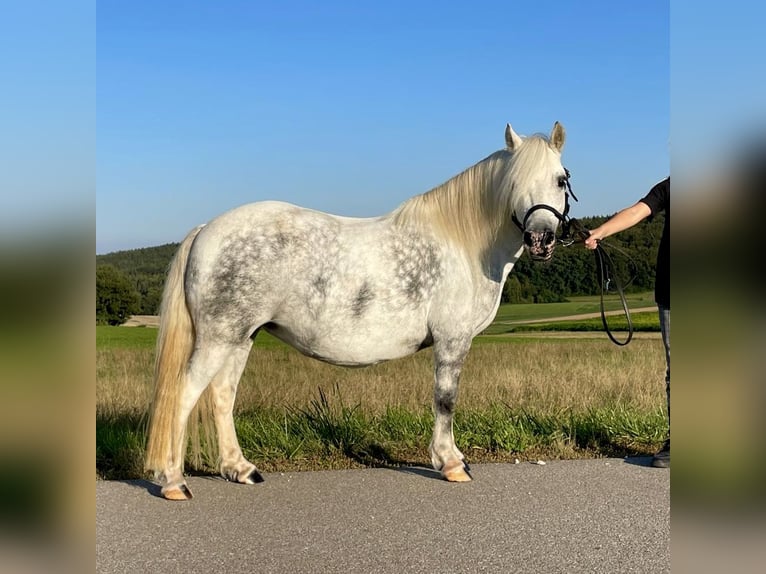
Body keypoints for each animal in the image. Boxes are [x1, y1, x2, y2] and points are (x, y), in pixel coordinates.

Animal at [147, 121, 572, 500]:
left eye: (559, 180)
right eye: (513, 183)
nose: (540, 239)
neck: (463, 245)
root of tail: (205, 230)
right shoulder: (452, 339)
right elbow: (445, 399)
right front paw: (451, 463)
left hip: (241, 337)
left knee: (222, 395)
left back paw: (241, 469)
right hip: (218, 338)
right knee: (182, 396)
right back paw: (173, 482)